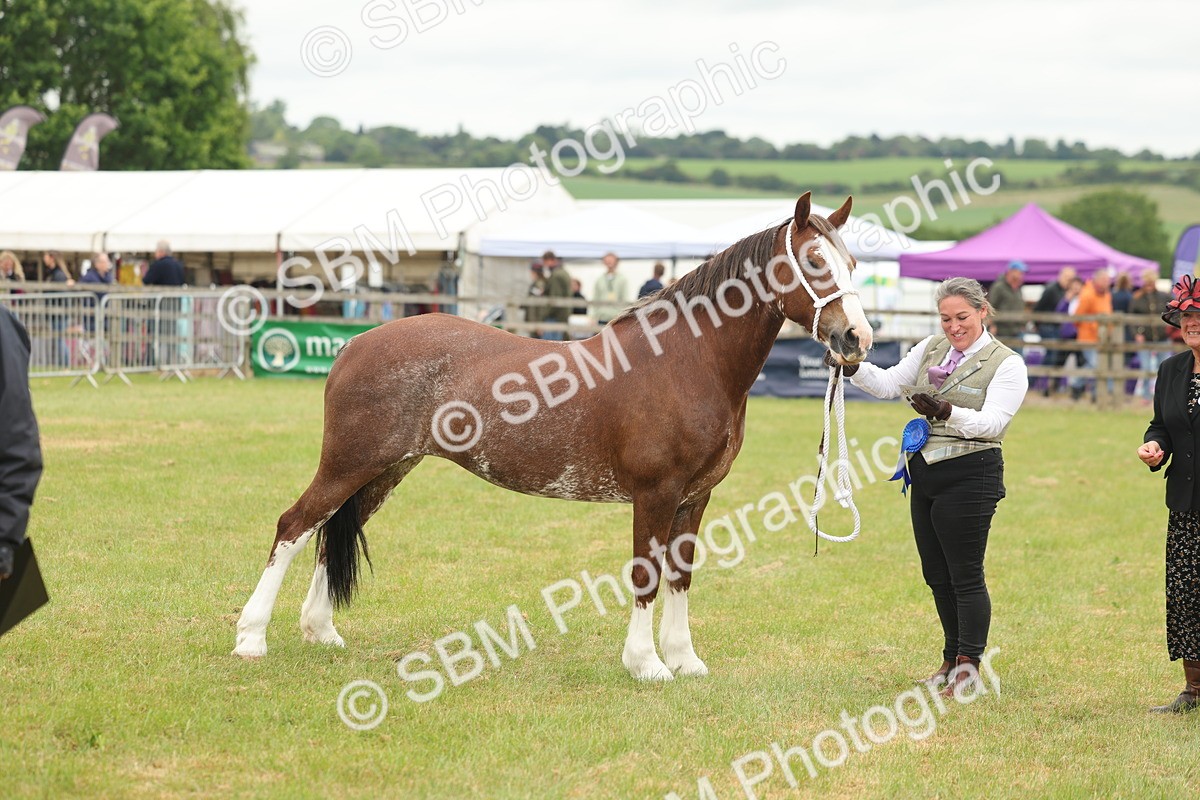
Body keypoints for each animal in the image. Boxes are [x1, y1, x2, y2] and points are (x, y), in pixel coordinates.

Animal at [232, 192, 873, 680]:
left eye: (853, 266)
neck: (686, 361)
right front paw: (646, 665)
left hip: (385, 469)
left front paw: (684, 661)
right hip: (348, 463)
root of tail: (355, 343)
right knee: (294, 526)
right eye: (815, 263)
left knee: (330, 532)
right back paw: (251, 638)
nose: (857, 340)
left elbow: (680, 576)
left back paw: (320, 631)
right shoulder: (656, 493)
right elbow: (646, 573)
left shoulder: (696, 496)